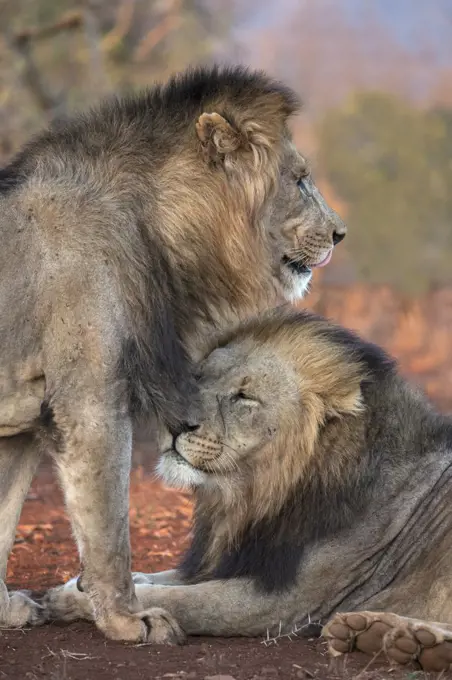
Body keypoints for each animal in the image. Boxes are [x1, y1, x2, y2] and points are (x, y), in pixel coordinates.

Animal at [45, 308, 452, 668]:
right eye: (199, 378)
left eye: (244, 397)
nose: (174, 420)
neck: (253, 497)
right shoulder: (230, 560)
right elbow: (154, 578)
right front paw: (84, 584)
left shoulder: (284, 602)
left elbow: (175, 599)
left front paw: (71, 599)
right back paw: (380, 634)